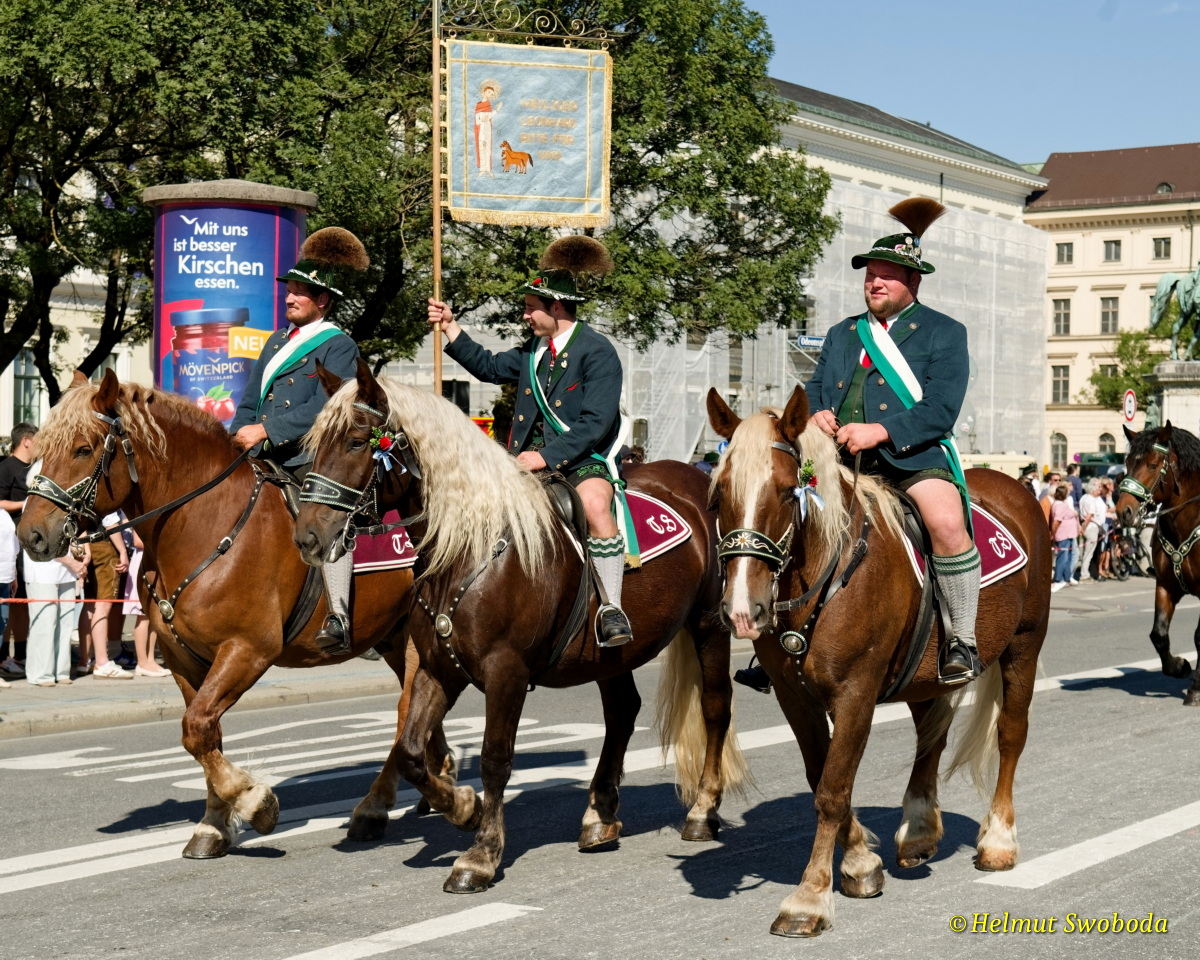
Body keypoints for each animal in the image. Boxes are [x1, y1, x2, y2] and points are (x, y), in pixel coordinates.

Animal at [17, 370, 449, 858]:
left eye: (83, 449)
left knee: (405, 713)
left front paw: (254, 801)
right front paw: (213, 825)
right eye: (42, 447)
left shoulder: (247, 650)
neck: (204, 524)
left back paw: (375, 807)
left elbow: (197, 728)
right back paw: (438, 780)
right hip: (395, 636)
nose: (31, 535)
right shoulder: (185, 660)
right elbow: (204, 734)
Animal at [294, 360, 748, 893]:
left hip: (709, 625)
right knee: (622, 712)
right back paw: (599, 814)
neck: (471, 547)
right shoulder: (437, 666)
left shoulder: (504, 672)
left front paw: (481, 854)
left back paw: (701, 810)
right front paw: (462, 807)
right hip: (611, 654)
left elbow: (495, 758)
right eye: (314, 443)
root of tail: (696, 479)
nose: (307, 536)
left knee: (715, 708)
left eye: (355, 441)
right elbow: (409, 751)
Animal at [706, 386, 1050, 938]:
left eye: (786, 490)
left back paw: (998, 840)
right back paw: (919, 830)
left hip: (1024, 646)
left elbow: (833, 787)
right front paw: (859, 863)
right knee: (931, 737)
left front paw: (809, 898)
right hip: (927, 674)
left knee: (1011, 735)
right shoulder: (795, 697)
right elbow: (820, 775)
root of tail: (1011, 485)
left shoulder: (856, 694)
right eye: (718, 496)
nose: (742, 610)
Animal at [1116, 422, 1200, 705]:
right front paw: (1179, 666)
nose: (1124, 511)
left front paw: (1196, 689)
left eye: (1153, 465)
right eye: (1127, 463)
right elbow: (1158, 635)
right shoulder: (1166, 586)